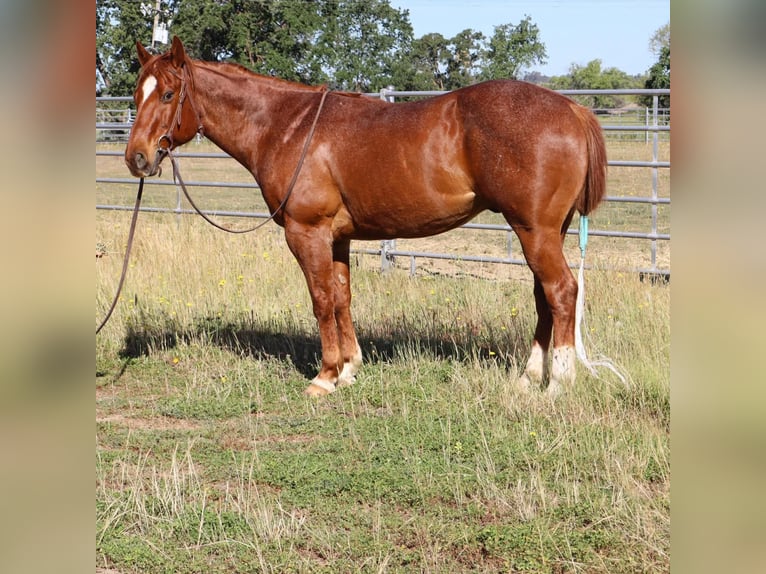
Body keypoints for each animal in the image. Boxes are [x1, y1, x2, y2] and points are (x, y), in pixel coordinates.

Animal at [125, 36, 607, 397]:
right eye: (135, 93)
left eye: (168, 94)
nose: (137, 158)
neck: (286, 126)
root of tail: (572, 109)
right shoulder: (337, 238)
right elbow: (342, 298)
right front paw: (349, 368)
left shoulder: (307, 233)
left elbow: (321, 300)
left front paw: (324, 377)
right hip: (543, 232)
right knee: (544, 297)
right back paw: (528, 378)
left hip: (534, 231)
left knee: (562, 292)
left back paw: (558, 384)